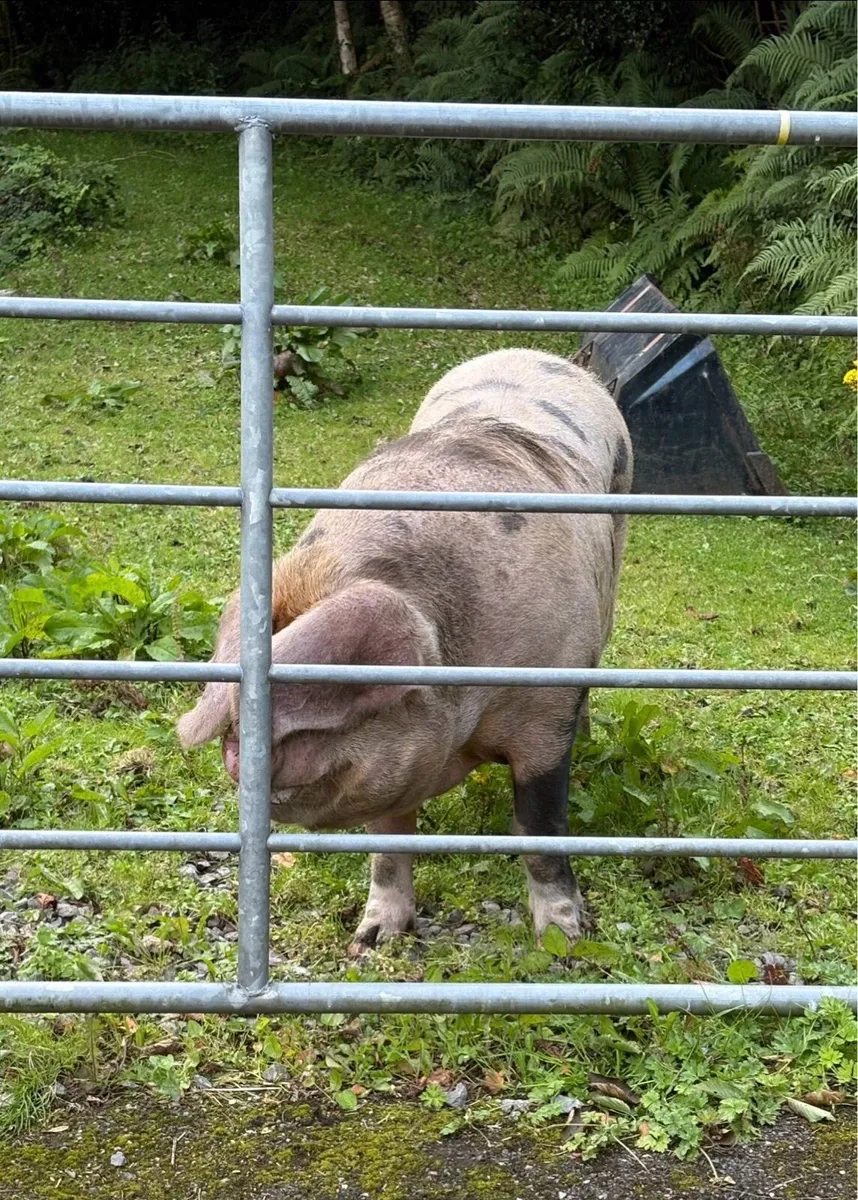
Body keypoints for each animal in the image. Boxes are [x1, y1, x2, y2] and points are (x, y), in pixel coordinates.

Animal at [177, 348, 632, 952]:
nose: (237, 747)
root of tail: (538, 355)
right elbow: (388, 846)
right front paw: (372, 940)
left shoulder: (546, 710)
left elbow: (540, 828)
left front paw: (563, 940)